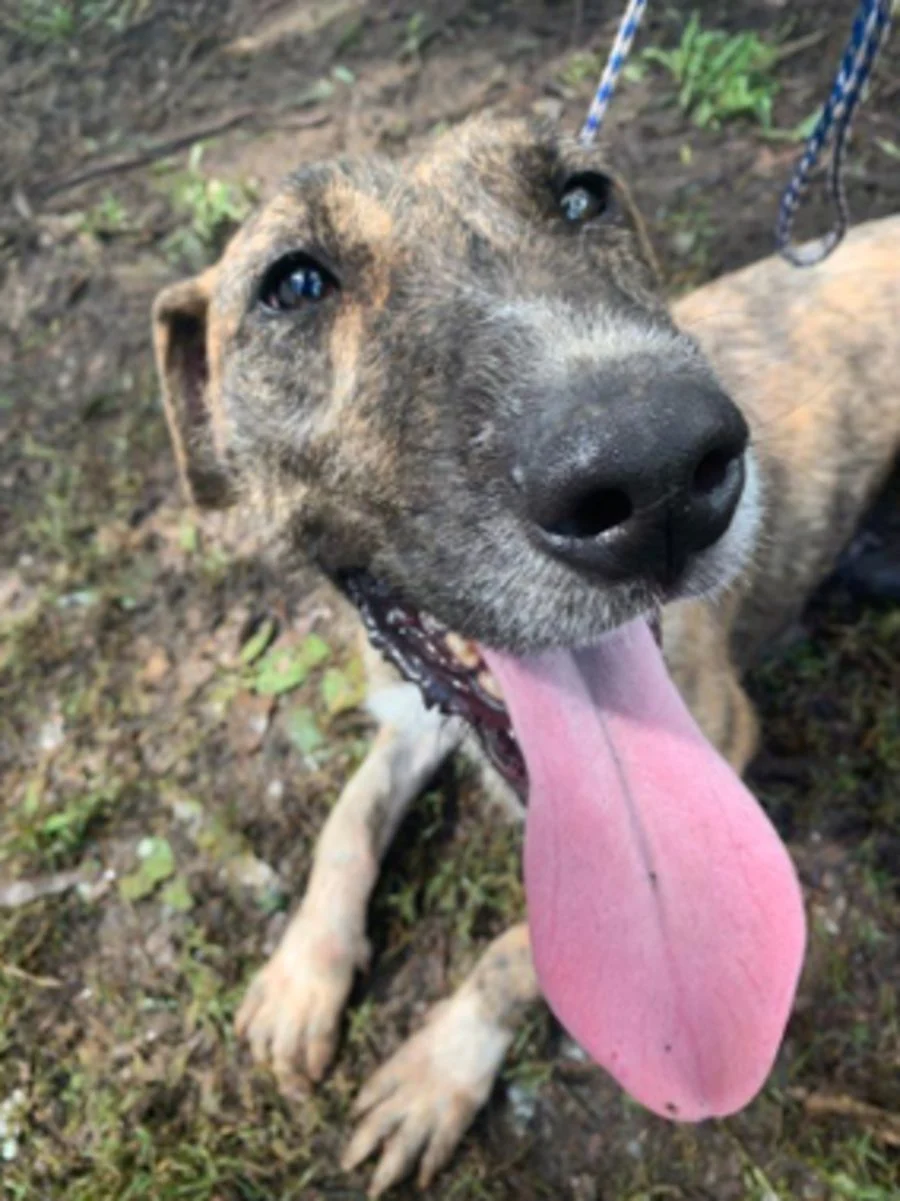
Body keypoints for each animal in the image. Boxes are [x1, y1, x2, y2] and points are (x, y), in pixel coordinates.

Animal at [152, 114, 898, 1201]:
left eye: (583, 196)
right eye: (293, 283)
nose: (660, 472)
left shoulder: (725, 735)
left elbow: (526, 949)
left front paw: (438, 1066)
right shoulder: (411, 707)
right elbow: (346, 821)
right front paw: (304, 972)